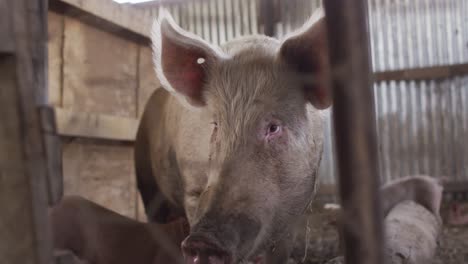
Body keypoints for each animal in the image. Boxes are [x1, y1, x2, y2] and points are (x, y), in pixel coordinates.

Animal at [135, 8, 330, 264]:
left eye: (273, 127)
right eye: (216, 125)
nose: (204, 239)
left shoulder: (297, 209)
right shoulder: (193, 189)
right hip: (145, 179)